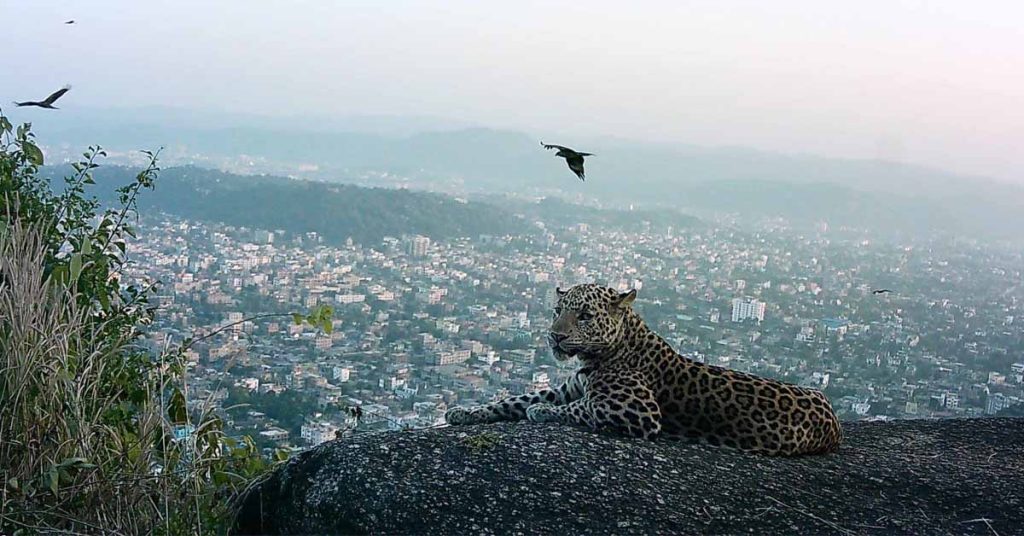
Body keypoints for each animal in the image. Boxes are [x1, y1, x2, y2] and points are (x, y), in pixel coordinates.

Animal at [445, 283, 843, 456]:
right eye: (558, 310)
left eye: (584, 315)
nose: (555, 336)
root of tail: (835, 420)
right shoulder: (566, 387)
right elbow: (513, 400)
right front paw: (464, 413)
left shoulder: (639, 412)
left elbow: (581, 408)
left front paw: (542, 412)